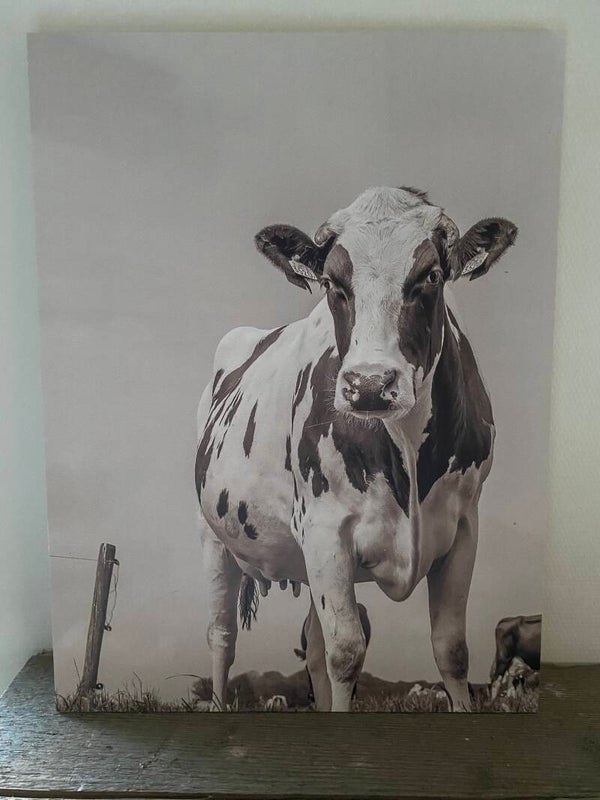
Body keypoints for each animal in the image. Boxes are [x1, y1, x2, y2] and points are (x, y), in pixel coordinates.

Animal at [195, 185, 517, 712]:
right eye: (332, 283)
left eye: (431, 275)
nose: (369, 384)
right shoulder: (327, 531)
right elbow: (347, 652)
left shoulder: (464, 525)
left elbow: (451, 650)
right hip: (212, 537)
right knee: (221, 637)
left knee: (313, 646)